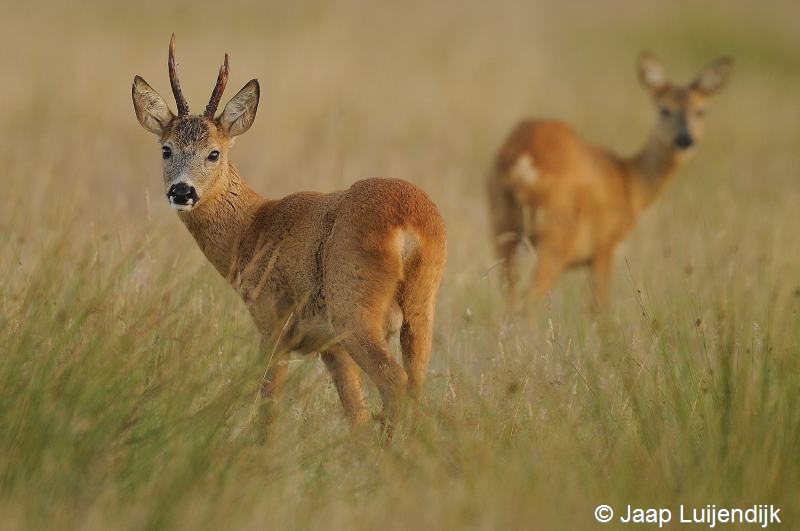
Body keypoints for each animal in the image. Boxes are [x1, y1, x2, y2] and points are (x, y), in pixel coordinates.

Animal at [130, 36, 444, 436]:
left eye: (214, 153)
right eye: (166, 149)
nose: (182, 191)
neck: (251, 228)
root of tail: (407, 225)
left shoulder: (273, 325)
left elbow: (269, 411)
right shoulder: (329, 345)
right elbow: (355, 418)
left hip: (354, 310)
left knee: (395, 381)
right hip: (421, 307)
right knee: (416, 384)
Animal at [488, 53, 732, 312]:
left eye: (701, 111)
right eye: (664, 109)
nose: (685, 140)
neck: (629, 182)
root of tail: (520, 160)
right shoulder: (605, 245)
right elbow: (600, 308)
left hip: (502, 228)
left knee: (509, 298)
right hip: (555, 233)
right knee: (528, 302)